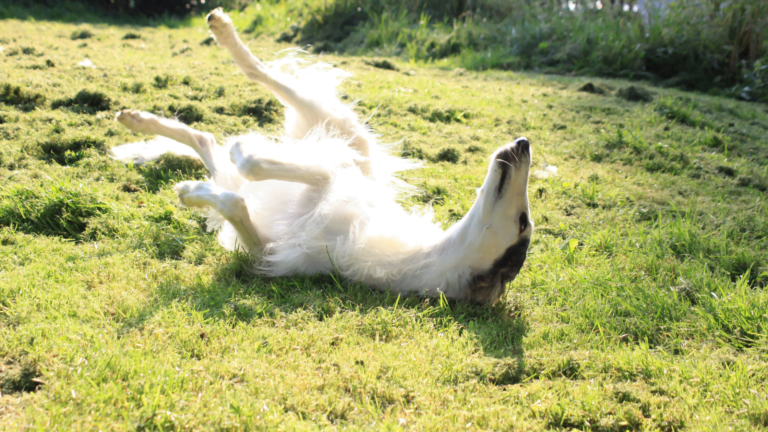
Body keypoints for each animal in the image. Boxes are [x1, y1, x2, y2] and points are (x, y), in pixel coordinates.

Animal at [111, 6, 536, 304]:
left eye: (522, 223)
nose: (524, 143)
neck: (407, 254)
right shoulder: (335, 171)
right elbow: (259, 167)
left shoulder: (269, 248)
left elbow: (240, 189)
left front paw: (196, 190)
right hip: (329, 121)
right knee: (256, 75)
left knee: (208, 140)